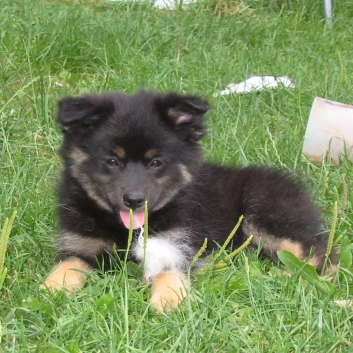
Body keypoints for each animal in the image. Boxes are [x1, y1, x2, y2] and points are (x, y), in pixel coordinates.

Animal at [43, 89, 336, 310]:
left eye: (156, 162)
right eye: (112, 161)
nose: (135, 200)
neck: (126, 231)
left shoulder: (176, 243)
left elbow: (170, 272)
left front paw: (168, 301)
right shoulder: (80, 247)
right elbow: (65, 269)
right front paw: (49, 292)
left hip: (264, 212)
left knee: (321, 251)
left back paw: (295, 279)